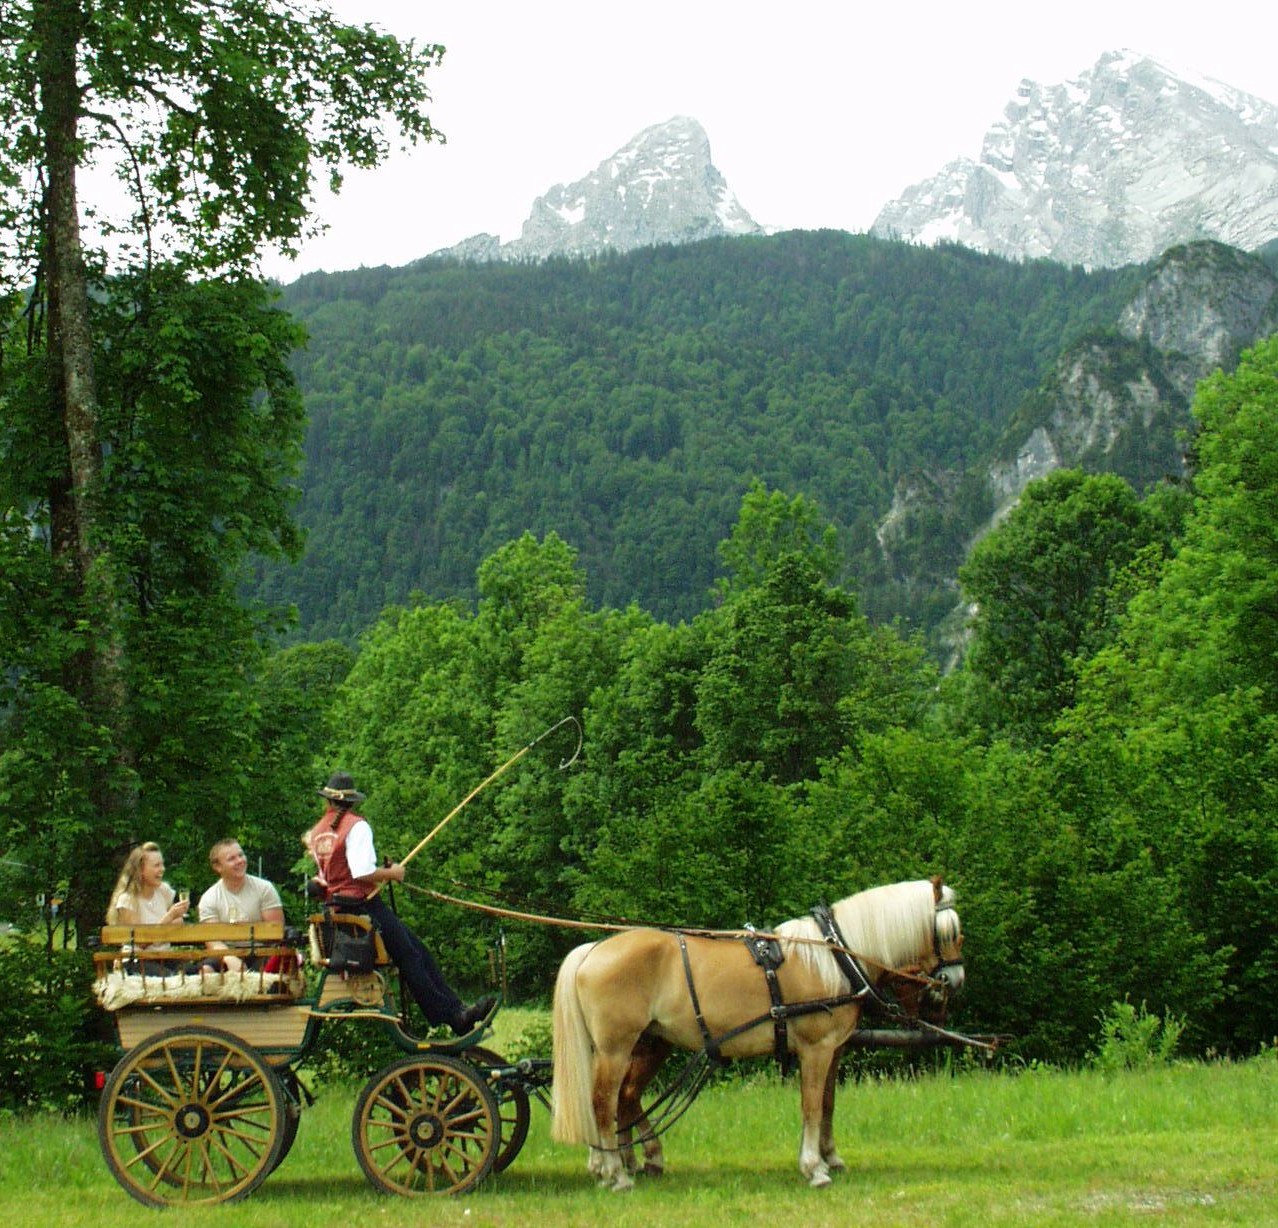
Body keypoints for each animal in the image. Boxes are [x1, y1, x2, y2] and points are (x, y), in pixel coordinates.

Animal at [554, 879, 961, 1185]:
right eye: (952, 933)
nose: (954, 982)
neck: (833, 959)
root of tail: (593, 949)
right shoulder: (815, 1049)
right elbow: (811, 1105)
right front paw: (814, 1168)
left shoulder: (834, 1049)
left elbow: (828, 1103)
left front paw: (831, 1157)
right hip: (615, 1048)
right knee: (603, 1102)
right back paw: (616, 1174)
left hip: (649, 1044)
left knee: (624, 1097)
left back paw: (627, 1162)